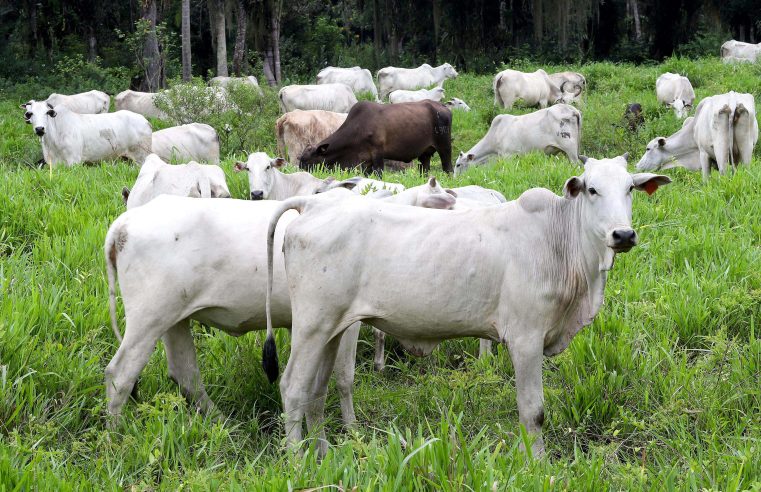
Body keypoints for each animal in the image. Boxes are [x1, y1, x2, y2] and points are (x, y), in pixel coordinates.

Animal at [21, 99, 151, 167]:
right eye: (30, 113)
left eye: (47, 113)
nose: (40, 129)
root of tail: (145, 121)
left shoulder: (74, 161)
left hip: (141, 158)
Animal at [104, 192, 362, 426]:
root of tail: (125, 223)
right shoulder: (345, 322)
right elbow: (344, 378)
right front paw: (352, 429)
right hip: (147, 320)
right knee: (120, 375)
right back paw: (115, 436)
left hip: (173, 319)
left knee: (185, 374)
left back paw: (223, 423)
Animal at [262, 155, 672, 458]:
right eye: (591, 189)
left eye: (630, 188)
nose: (623, 234)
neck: (559, 242)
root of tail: (313, 203)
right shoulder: (525, 339)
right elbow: (533, 412)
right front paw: (537, 463)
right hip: (312, 326)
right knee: (293, 388)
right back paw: (298, 462)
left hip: (332, 330)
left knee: (316, 392)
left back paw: (323, 454)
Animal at [296, 99, 452, 176]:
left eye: (306, 160)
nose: (300, 172)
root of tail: (443, 106)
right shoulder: (366, 161)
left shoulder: (377, 154)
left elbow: (379, 174)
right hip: (424, 154)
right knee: (424, 171)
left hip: (444, 147)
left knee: (448, 168)